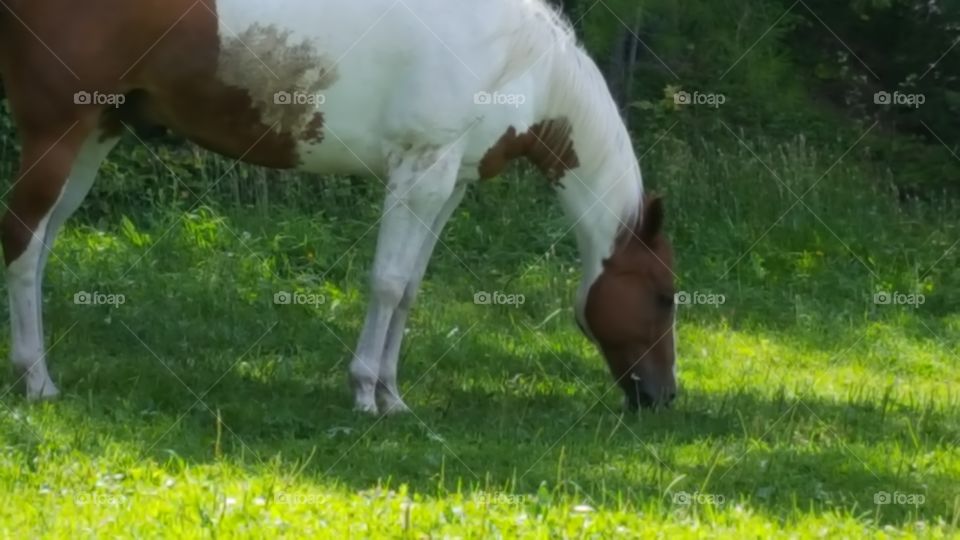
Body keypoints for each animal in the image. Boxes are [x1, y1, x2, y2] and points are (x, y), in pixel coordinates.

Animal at [0, 0, 680, 414]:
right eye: (664, 296)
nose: (665, 396)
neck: (516, 62)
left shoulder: (447, 184)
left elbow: (409, 290)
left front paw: (393, 396)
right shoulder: (417, 173)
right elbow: (387, 283)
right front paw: (365, 395)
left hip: (97, 134)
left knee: (42, 245)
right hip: (57, 134)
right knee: (23, 243)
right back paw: (36, 380)